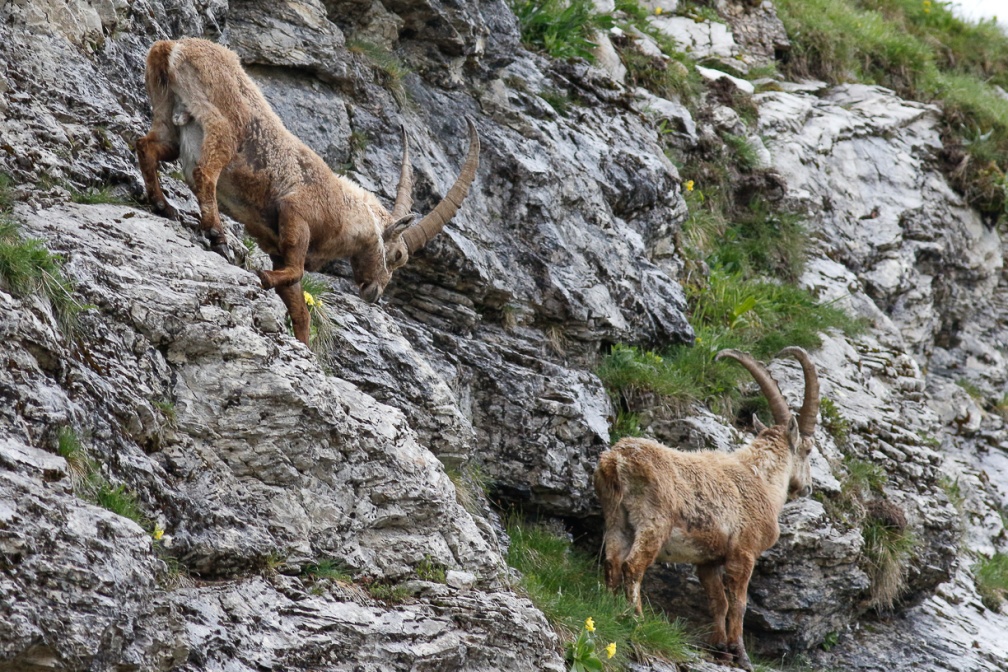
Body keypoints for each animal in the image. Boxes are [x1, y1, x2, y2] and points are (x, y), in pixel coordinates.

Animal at [136, 38, 480, 345]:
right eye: (397, 256)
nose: (375, 293)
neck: (346, 209)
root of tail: (173, 47)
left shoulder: (278, 246)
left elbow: (298, 303)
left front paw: (304, 347)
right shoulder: (296, 215)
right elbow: (297, 272)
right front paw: (262, 277)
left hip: (169, 118)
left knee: (147, 146)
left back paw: (162, 204)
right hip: (222, 129)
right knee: (204, 174)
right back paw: (216, 233)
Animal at [594, 347, 819, 671]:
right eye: (809, 449)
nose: (808, 487)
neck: (760, 479)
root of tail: (616, 460)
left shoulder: (708, 560)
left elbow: (718, 601)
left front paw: (720, 650)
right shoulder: (744, 552)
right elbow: (738, 602)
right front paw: (740, 655)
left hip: (616, 519)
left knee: (612, 563)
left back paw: (611, 609)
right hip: (653, 522)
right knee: (632, 566)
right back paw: (637, 619)